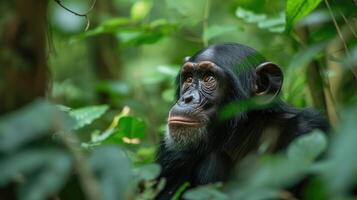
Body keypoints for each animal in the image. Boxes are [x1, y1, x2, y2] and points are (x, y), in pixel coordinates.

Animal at [154, 42, 326, 198]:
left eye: (209, 78)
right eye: (189, 79)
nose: (187, 98)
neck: (241, 135)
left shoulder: (309, 129)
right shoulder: (173, 154)